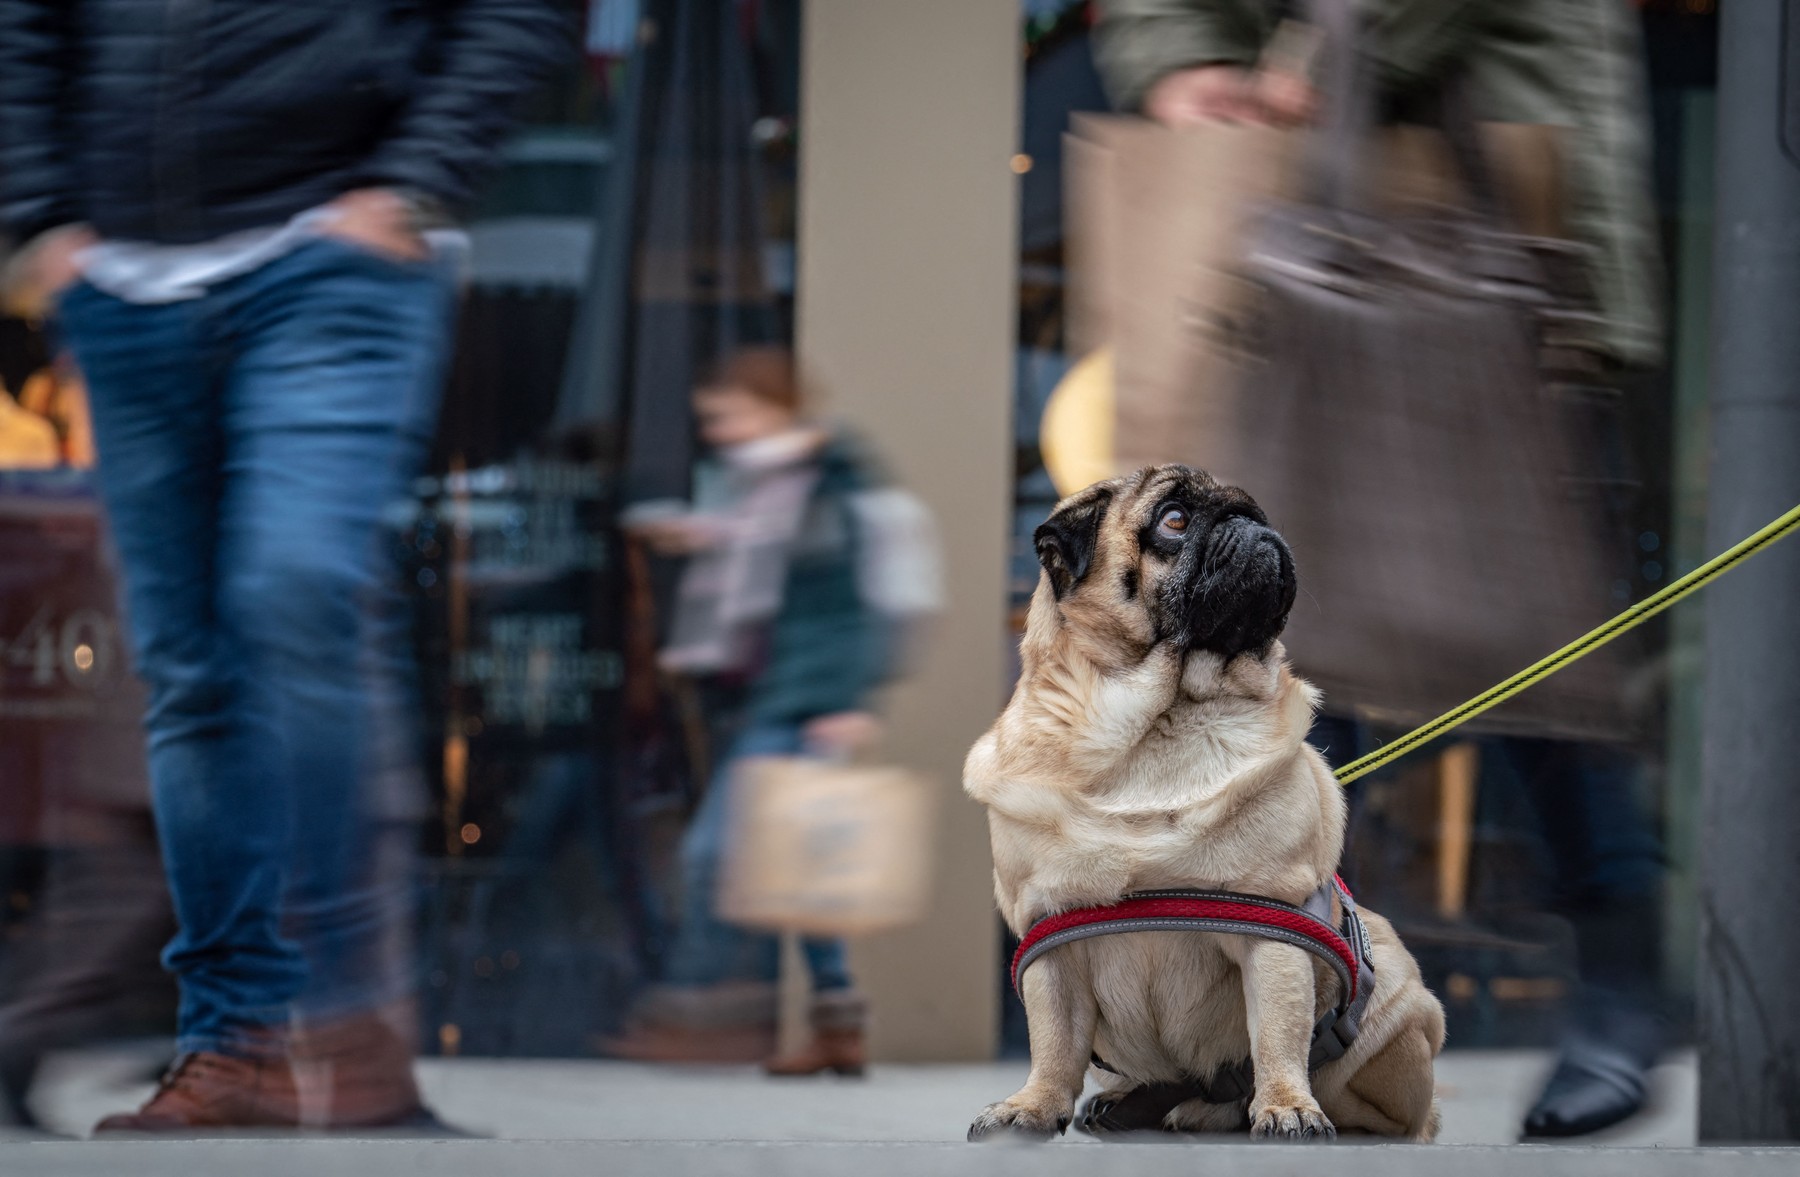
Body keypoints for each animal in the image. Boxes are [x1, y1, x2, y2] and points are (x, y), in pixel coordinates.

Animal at [964, 467, 1440, 1144]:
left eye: (1259, 513)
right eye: (1175, 519)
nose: (1253, 526)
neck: (1155, 728)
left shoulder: (1274, 931)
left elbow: (1278, 1037)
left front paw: (1287, 1106)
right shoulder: (1050, 938)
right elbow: (1052, 1043)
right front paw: (1032, 1107)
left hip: (1391, 1009)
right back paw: (1134, 1101)